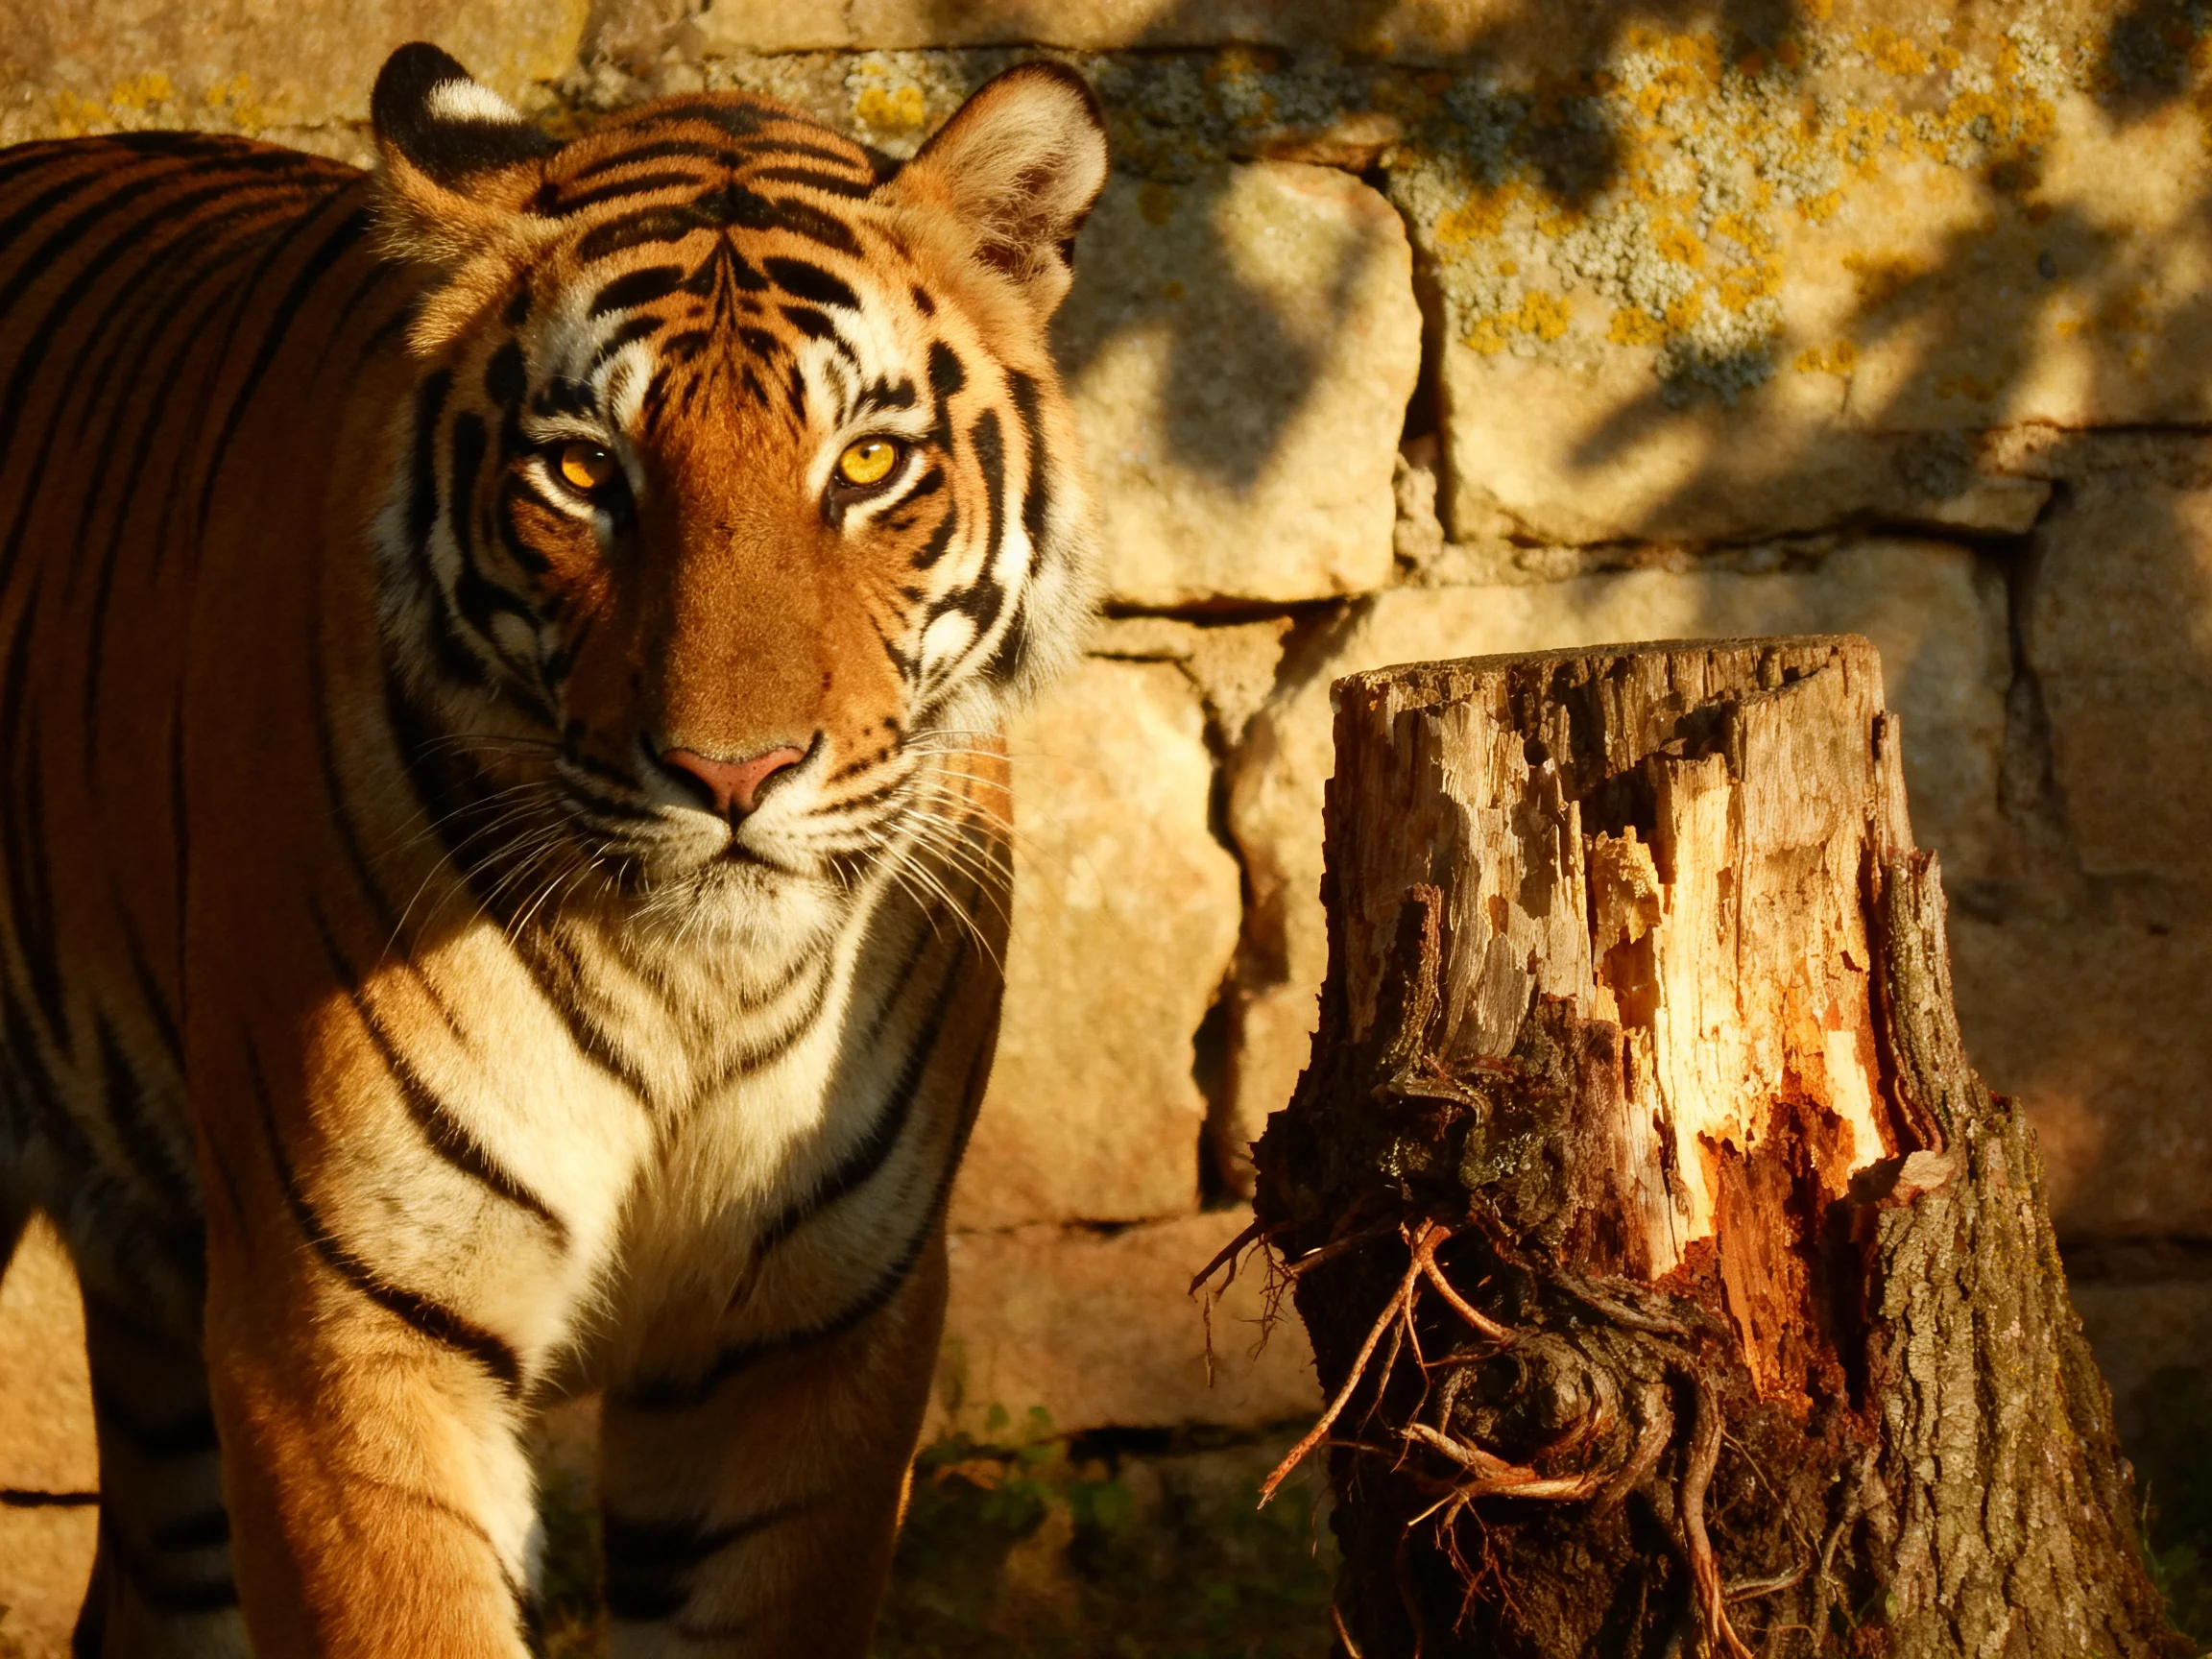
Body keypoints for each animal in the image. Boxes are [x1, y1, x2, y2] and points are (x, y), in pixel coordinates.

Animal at [0, 39, 1106, 1658]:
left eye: (869, 463)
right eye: (584, 477)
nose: (733, 774)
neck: (698, 988)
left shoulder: (809, 1340)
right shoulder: (342, 1330)